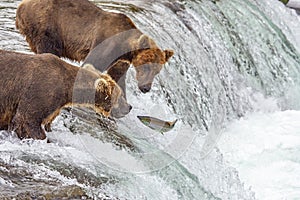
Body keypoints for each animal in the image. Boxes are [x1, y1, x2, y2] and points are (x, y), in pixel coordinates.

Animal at [15, 0, 175, 95]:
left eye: (157, 71)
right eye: (147, 66)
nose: (146, 88)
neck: (125, 47)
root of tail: (22, 5)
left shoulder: (120, 60)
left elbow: (117, 75)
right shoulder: (105, 44)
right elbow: (92, 64)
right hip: (48, 26)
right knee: (48, 50)